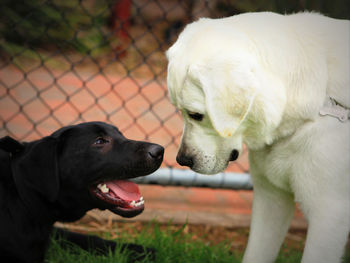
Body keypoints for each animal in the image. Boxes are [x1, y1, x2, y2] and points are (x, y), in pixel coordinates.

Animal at [0, 122, 164, 262]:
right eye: (99, 141)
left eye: (121, 135)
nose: (160, 151)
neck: (23, 199)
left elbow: (90, 238)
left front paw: (139, 250)